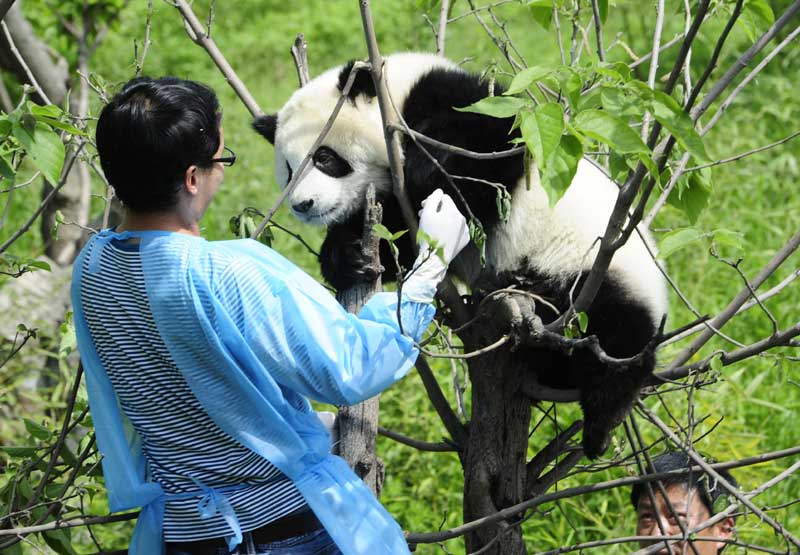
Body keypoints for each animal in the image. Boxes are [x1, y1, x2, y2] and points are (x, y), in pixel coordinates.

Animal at [253, 53, 664, 460]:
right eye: (288, 171)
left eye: (323, 157)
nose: (303, 204)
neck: (397, 96)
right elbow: (399, 239)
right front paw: (351, 255)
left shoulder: (461, 106)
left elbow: (489, 149)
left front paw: (424, 167)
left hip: (593, 272)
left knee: (618, 342)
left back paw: (601, 424)